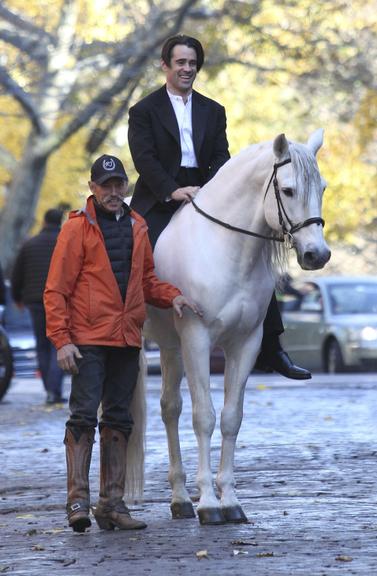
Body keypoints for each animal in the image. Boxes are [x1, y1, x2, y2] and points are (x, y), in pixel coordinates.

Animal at [129, 128, 328, 524]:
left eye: (323, 188)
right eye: (288, 190)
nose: (318, 254)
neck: (226, 248)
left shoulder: (245, 344)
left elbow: (231, 418)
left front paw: (230, 501)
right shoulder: (197, 339)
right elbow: (204, 417)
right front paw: (209, 503)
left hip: (171, 348)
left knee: (169, 408)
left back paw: (180, 499)